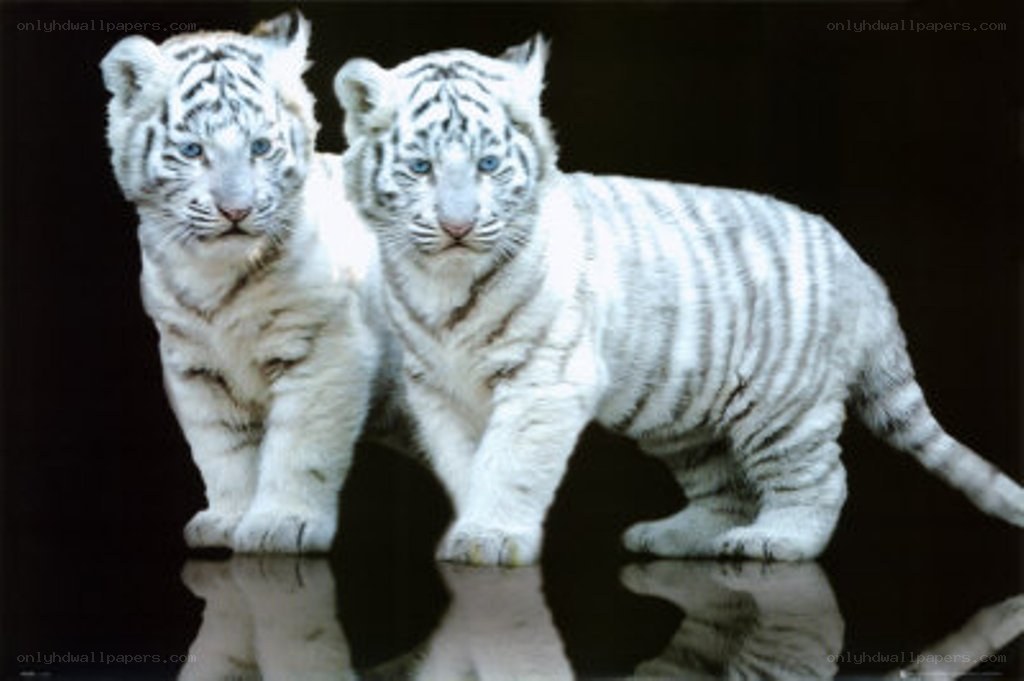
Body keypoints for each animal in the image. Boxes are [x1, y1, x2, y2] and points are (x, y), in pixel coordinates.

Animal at [101, 11, 398, 553]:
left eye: (260, 147)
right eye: (192, 150)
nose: (235, 211)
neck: (214, 275)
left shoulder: (325, 347)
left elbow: (299, 444)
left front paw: (283, 524)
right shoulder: (193, 364)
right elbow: (222, 447)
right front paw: (228, 518)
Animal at [332, 36, 1023, 565]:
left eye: (489, 165)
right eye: (421, 168)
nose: (457, 226)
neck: (443, 280)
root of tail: (862, 268)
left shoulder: (544, 380)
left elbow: (511, 463)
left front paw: (492, 537)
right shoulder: (439, 389)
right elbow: (465, 463)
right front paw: (471, 527)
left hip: (785, 406)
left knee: (819, 480)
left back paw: (776, 541)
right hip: (684, 415)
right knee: (724, 489)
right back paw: (670, 537)